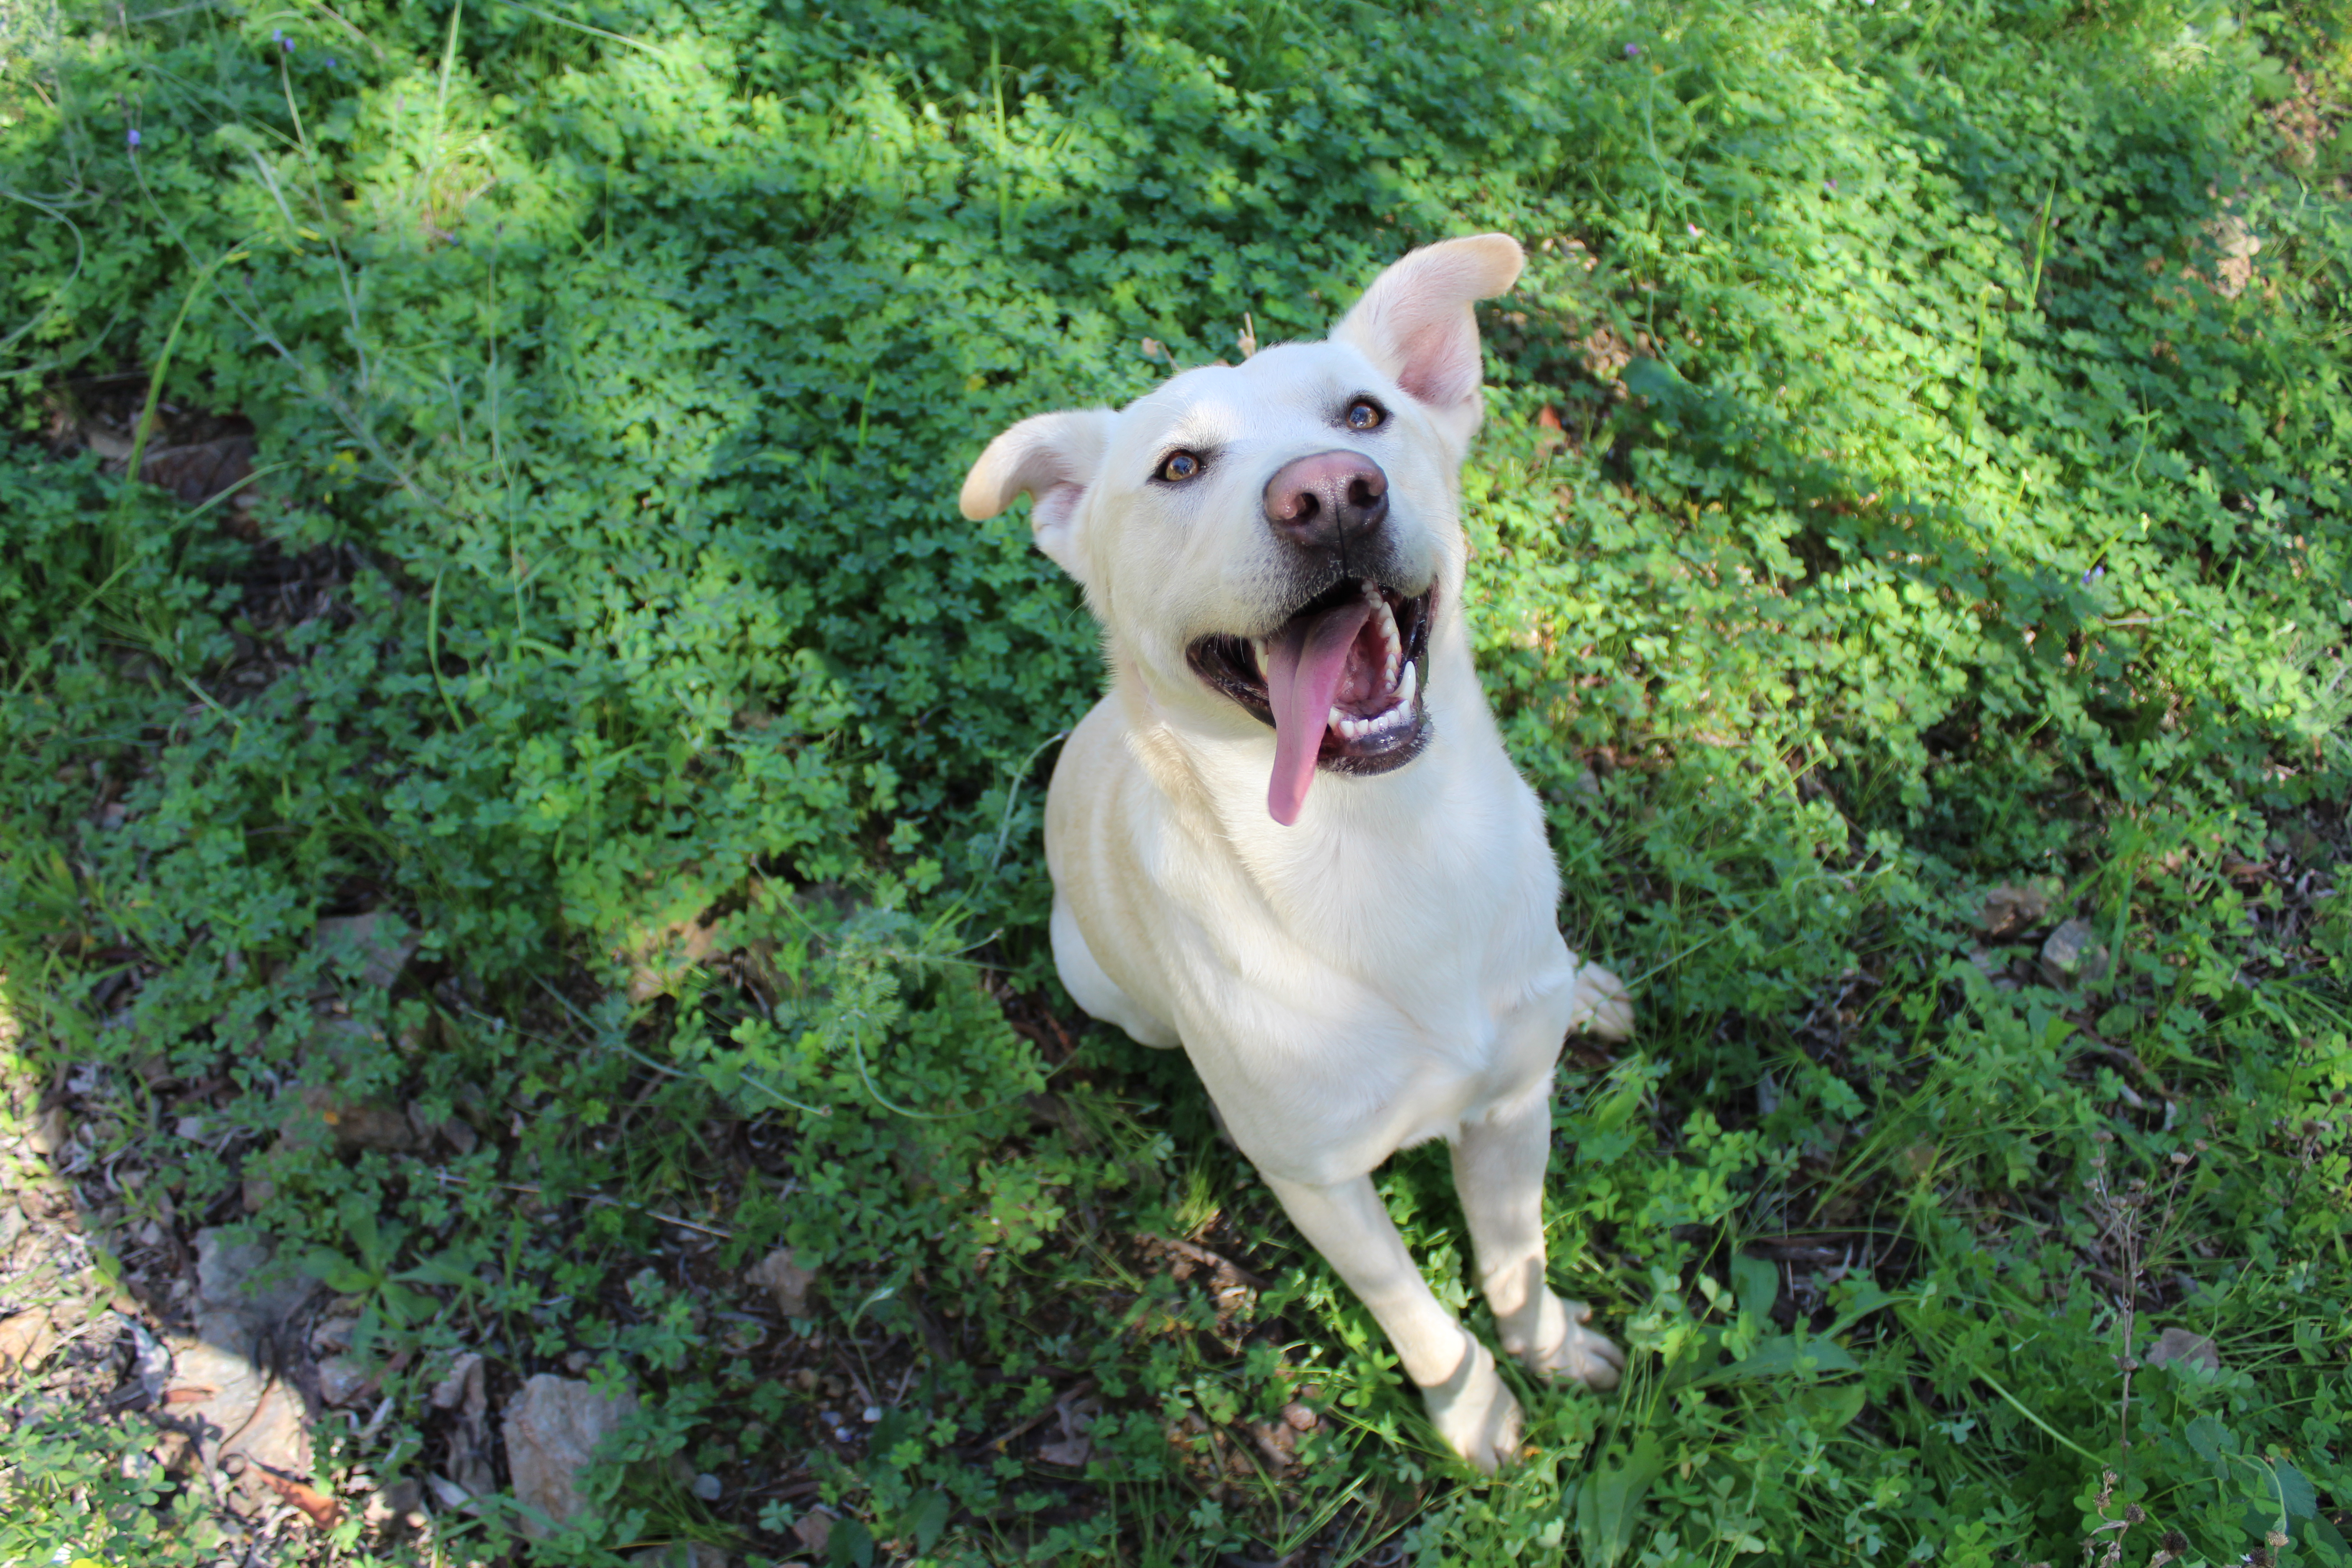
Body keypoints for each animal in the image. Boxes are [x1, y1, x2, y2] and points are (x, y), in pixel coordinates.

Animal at [964, 232, 1627, 1476]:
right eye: (1179, 467)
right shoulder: (1321, 1183)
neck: (1377, 845)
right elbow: (1416, 1310)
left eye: (1363, 413)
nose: (1329, 495)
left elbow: (1515, 1256)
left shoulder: (1515, 1106)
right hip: (1100, 983)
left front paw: (1550, 1343)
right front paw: (1473, 1409)